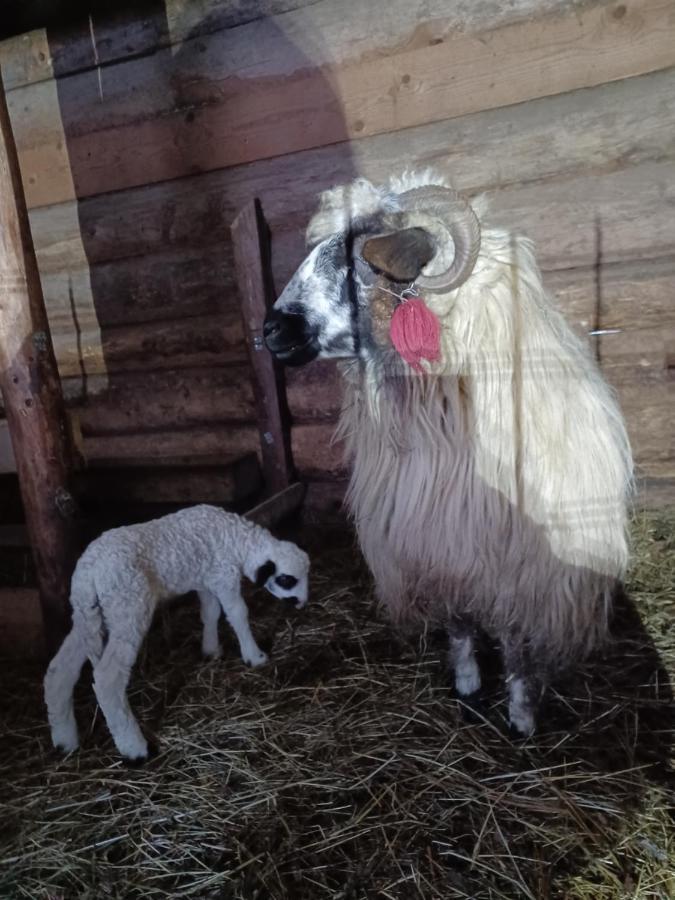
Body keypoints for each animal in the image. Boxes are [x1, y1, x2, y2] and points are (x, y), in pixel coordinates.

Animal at [45, 506, 312, 760]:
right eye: (287, 579)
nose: (301, 603)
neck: (237, 540)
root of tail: (88, 574)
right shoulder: (223, 575)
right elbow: (237, 613)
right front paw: (255, 656)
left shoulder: (206, 579)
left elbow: (210, 612)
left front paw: (210, 650)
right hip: (127, 605)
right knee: (107, 680)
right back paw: (135, 749)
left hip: (87, 614)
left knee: (59, 671)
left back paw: (65, 741)